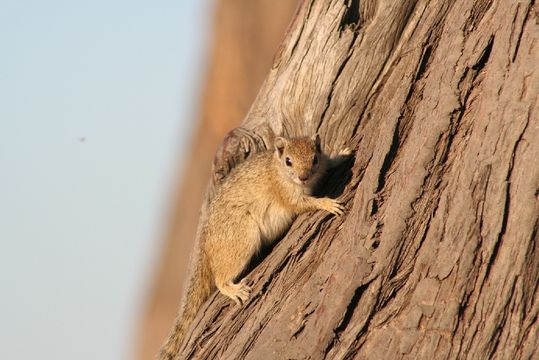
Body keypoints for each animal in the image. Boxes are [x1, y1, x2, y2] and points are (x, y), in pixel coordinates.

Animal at [157, 134, 350, 358]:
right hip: (241, 238)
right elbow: (301, 204)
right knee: (220, 278)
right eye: (288, 161)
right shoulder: (284, 192)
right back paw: (233, 290)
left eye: (315, 158)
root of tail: (206, 243)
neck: (276, 168)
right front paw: (327, 203)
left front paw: (342, 155)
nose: (303, 177)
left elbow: (330, 165)